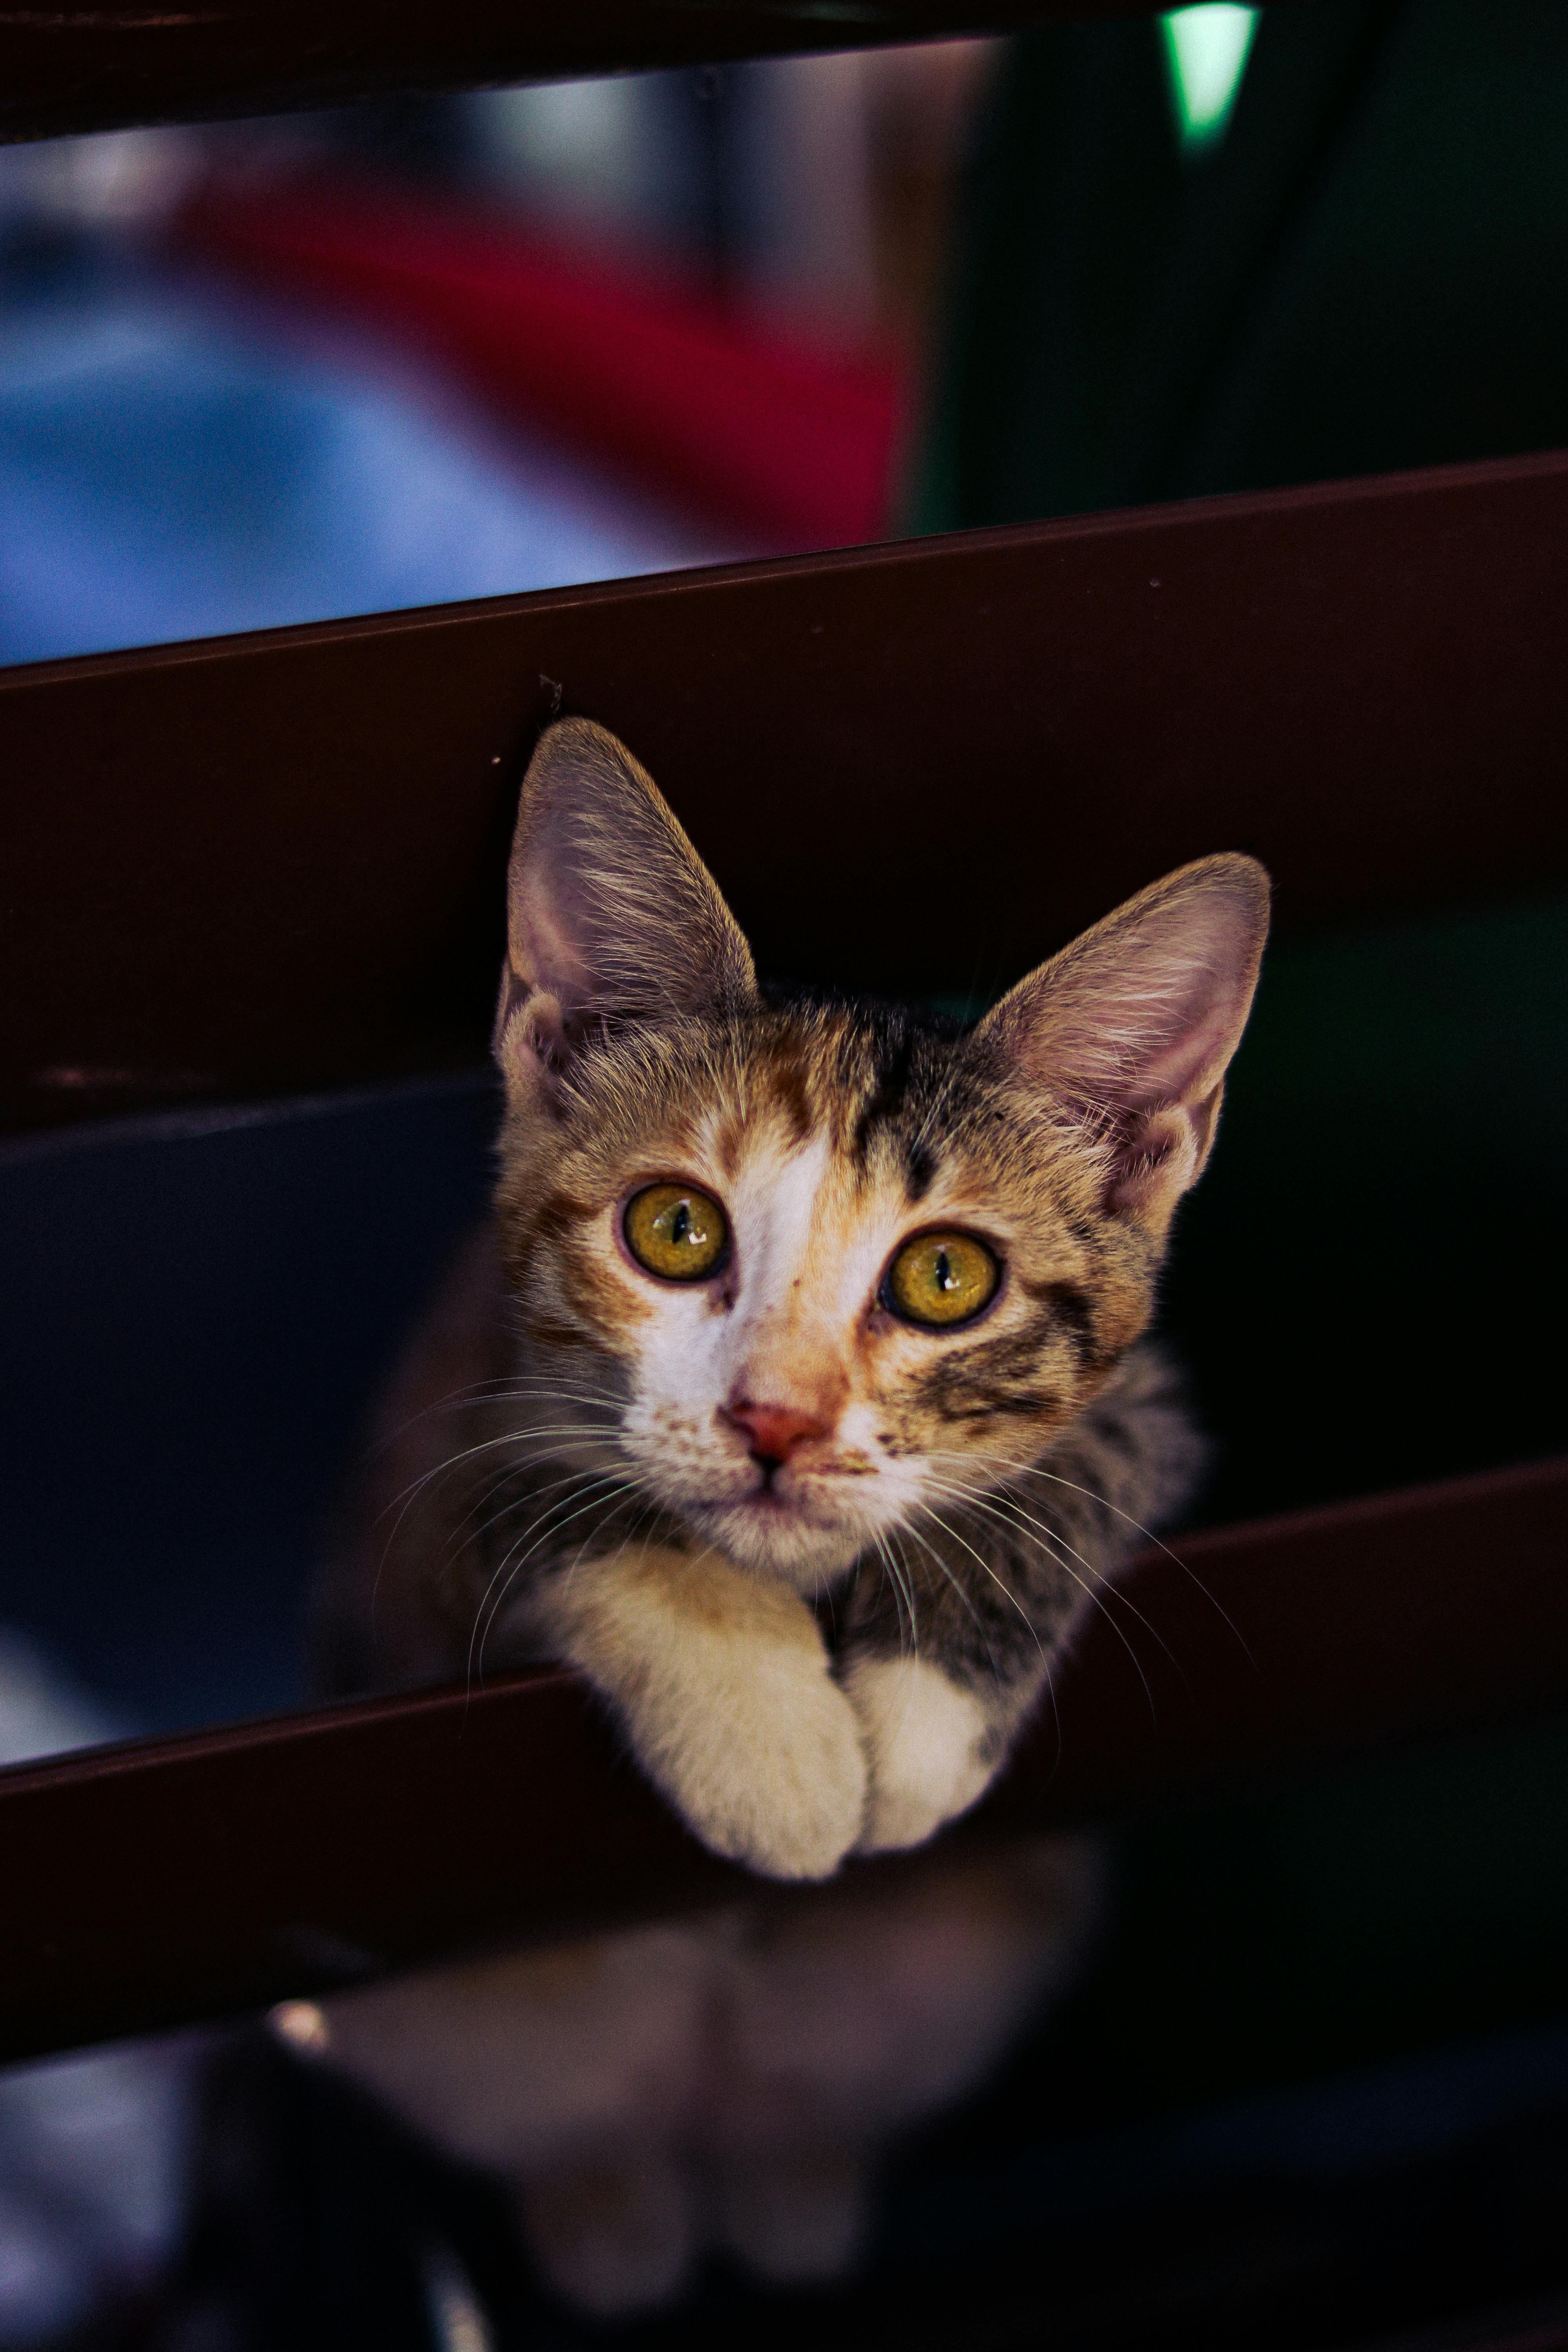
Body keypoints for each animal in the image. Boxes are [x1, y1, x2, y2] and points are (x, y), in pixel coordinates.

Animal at [315, 715, 1260, 1872]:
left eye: (945, 1277)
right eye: (676, 1228)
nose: (778, 1423)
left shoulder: (1156, 1405)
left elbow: (1080, 1459)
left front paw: (924, 1717)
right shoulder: (410, 1506)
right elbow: (532, 1488)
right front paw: (762, 1729)